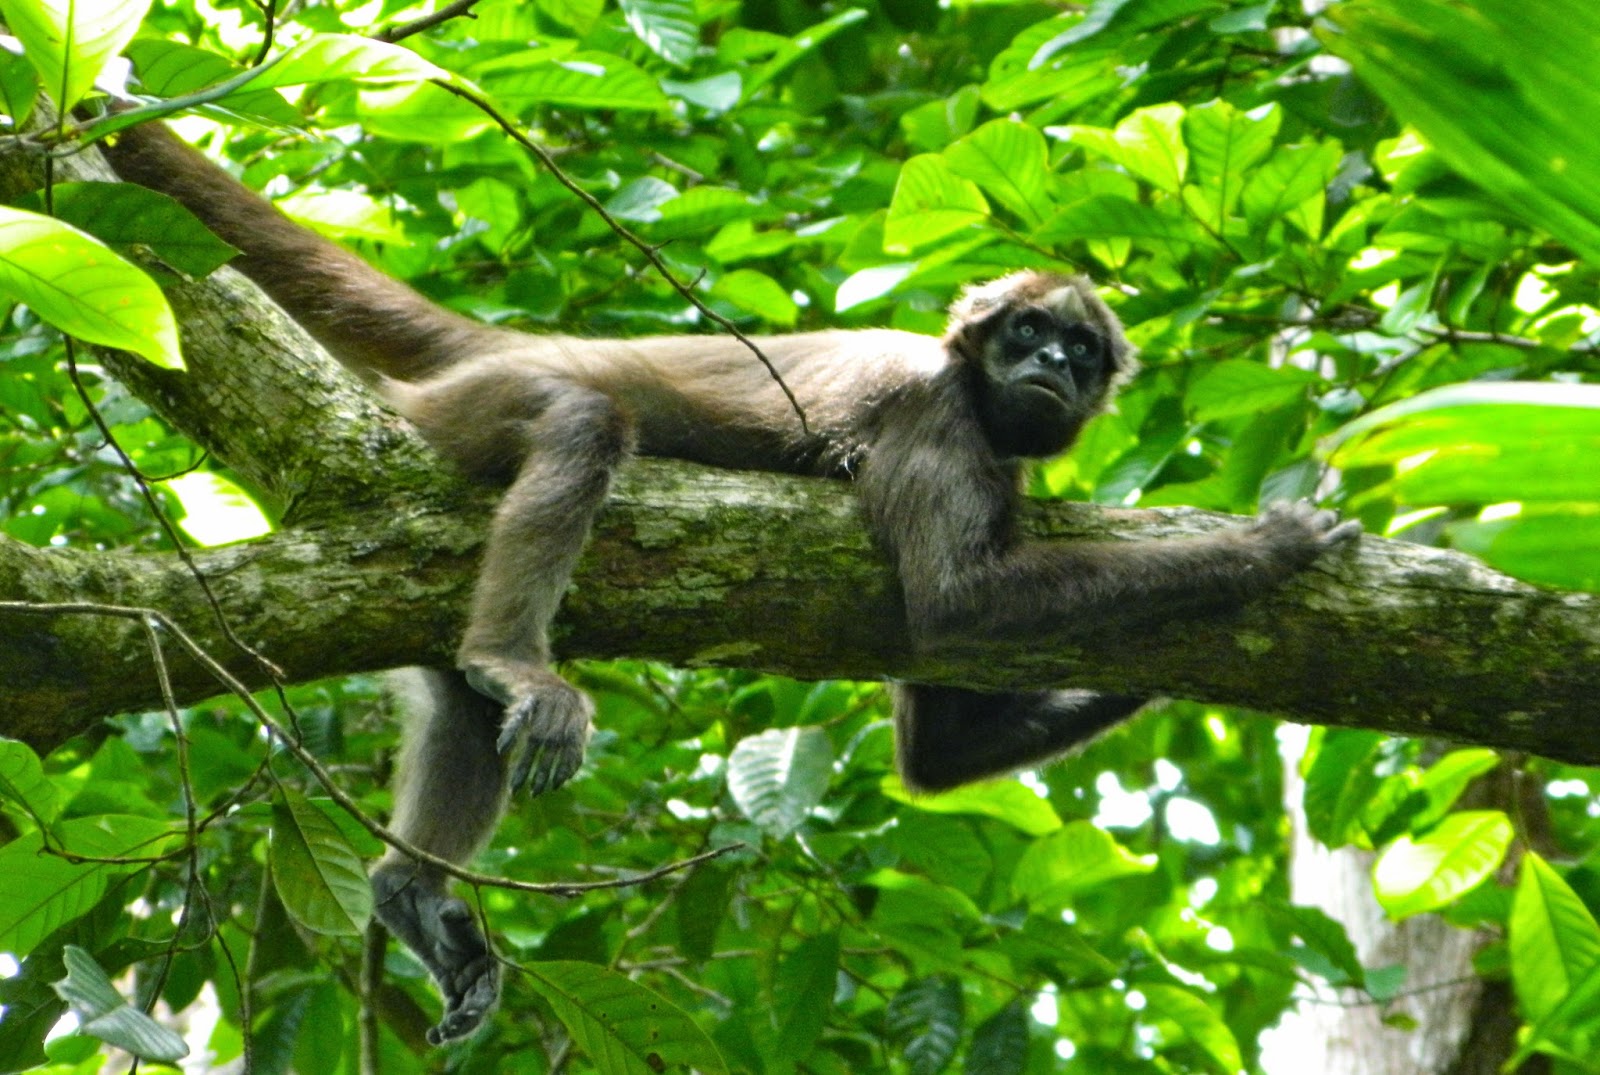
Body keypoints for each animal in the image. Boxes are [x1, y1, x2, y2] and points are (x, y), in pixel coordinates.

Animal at [102, 121, 1358, 1044]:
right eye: (1023, 336)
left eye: (1080, 352)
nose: (1050, 363)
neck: (979, 400)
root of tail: (502, 343)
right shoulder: (936, 411)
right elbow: (953, 607)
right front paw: (1266, 551)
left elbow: (936, 751)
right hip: (477, 408)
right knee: (579, 422)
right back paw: (518, 655)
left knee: (457, 701)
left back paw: (412, 888)